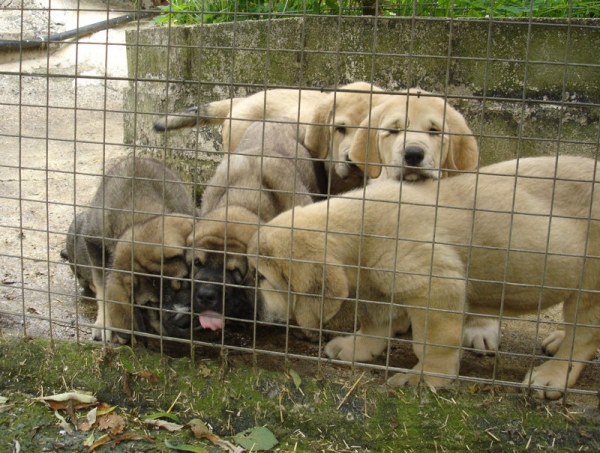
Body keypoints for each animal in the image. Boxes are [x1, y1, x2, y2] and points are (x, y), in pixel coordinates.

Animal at [248, 156, 600, 400]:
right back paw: (557, 340)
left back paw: (552, 374)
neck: (362, 231)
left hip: (590, 287)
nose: (249, 308)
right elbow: (375, 323)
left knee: (582, 339)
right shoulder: (379, 288)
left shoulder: (436, 287)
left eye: (262, 277)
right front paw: (359, 346)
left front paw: (426, 378)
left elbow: (432, 343)